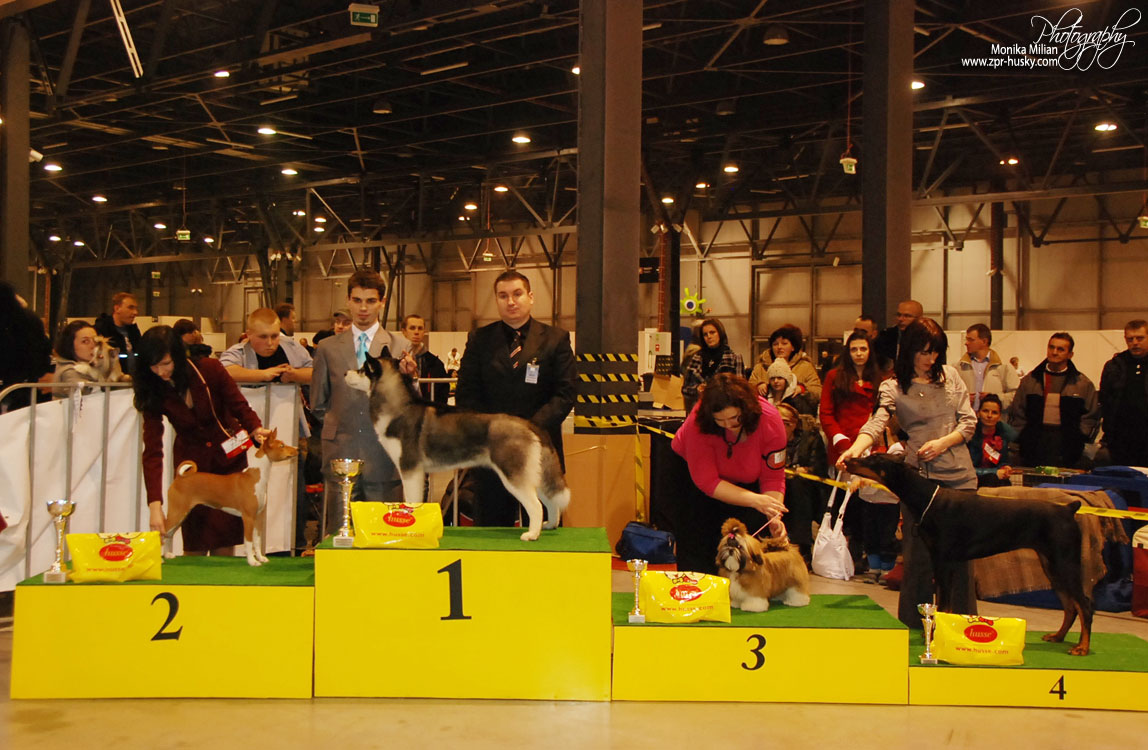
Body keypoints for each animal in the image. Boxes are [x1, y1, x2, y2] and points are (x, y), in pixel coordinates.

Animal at [164, 428, 298, 566]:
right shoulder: (248, 517)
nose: (297, 448)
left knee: (168, 534)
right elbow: (248, 542)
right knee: (163, 530)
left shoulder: (258, 517)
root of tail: (179, 477)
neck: (255, 478)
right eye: (282, 446)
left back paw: (167, 555)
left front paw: (260, 558)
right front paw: (252, 561)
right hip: (177, 512)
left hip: (181, 515)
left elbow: (257, 541)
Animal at [345, 355, 570, 541]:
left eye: (362, 370)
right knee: (550, 500)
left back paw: (532, 534)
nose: (346, 373)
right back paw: (549, 524)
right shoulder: (416, 471)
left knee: (536, 505)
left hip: (514, 475)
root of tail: (528, 423)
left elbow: (411, 500)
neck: (399, 408)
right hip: (534, 473)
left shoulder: (409, 468)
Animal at [844, 452, 1093, 655]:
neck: (927, 500)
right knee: (1070, 606)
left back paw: (1082, 647)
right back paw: (1058, 636)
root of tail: (1068, 509)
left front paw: (934, 636)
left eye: (873, 459)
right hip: (1051, 565)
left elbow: (944, 605)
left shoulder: (944, 561)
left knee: (1084, 604)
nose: (847, 460)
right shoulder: (940, 561)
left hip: (1065, 562)